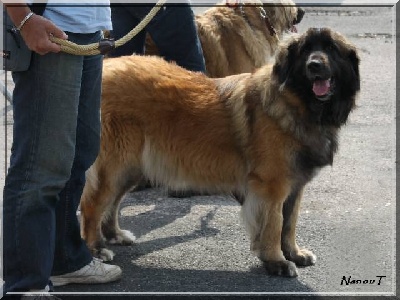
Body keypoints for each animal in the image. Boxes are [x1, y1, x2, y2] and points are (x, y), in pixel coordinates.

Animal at [80, 27, 360, 276]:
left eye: (331, 49)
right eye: (305, 51)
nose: (314, 65)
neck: (297, 105)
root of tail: (107, 67)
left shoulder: (295, 185)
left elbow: (289, 223)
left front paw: (294, 253)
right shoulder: (271, 186)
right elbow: (275, 223)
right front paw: (277, 262)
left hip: (132, 166)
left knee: (112, 203)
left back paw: (115, 235)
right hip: (116, 164)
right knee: (92, 206)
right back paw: (96, 250)